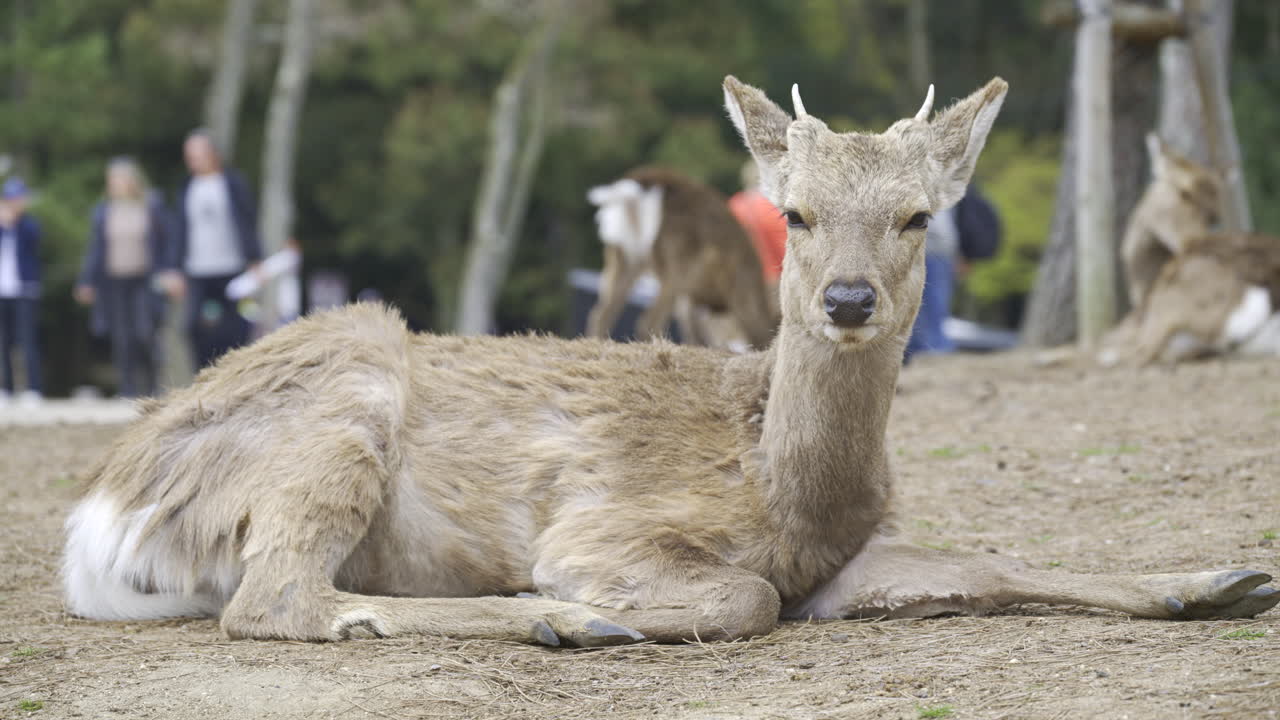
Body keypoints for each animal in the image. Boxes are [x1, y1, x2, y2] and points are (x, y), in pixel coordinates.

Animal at [585, 167, 777, 352]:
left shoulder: (691, 297)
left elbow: (693, 331)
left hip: (621, 256)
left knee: (600, 315)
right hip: (676, 258)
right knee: (648, 320)